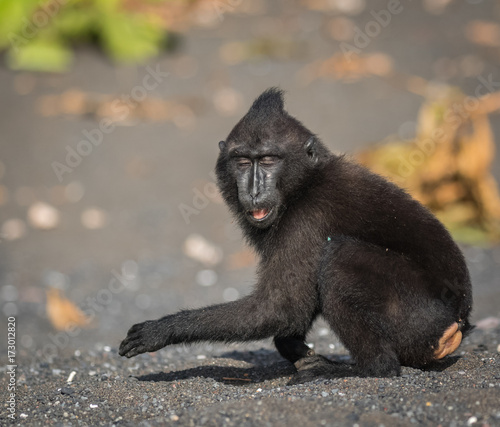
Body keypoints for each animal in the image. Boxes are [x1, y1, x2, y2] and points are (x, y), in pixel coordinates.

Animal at [118, 88, 472, 382]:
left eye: (268, 160)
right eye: (243, 161)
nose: (254, 190)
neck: (305, 184)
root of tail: (457, 322)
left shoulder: (307, 218)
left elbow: (279, 307)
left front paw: (163, 329)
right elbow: (293, 309)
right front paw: (293, 347)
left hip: (419, 319)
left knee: (340, 260)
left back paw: (367, 369)